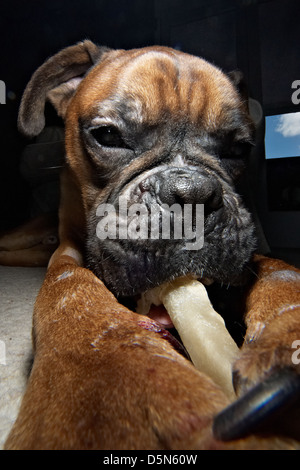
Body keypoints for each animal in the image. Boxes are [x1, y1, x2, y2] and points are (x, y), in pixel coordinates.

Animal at [3, 42, 298, 450]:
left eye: (239, 149)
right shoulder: (66, 253)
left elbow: (280, 270)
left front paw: (287, 329)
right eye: (108, 135)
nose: (192, 194)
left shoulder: (247, 258)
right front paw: (109, 371)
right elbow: (69, 288)